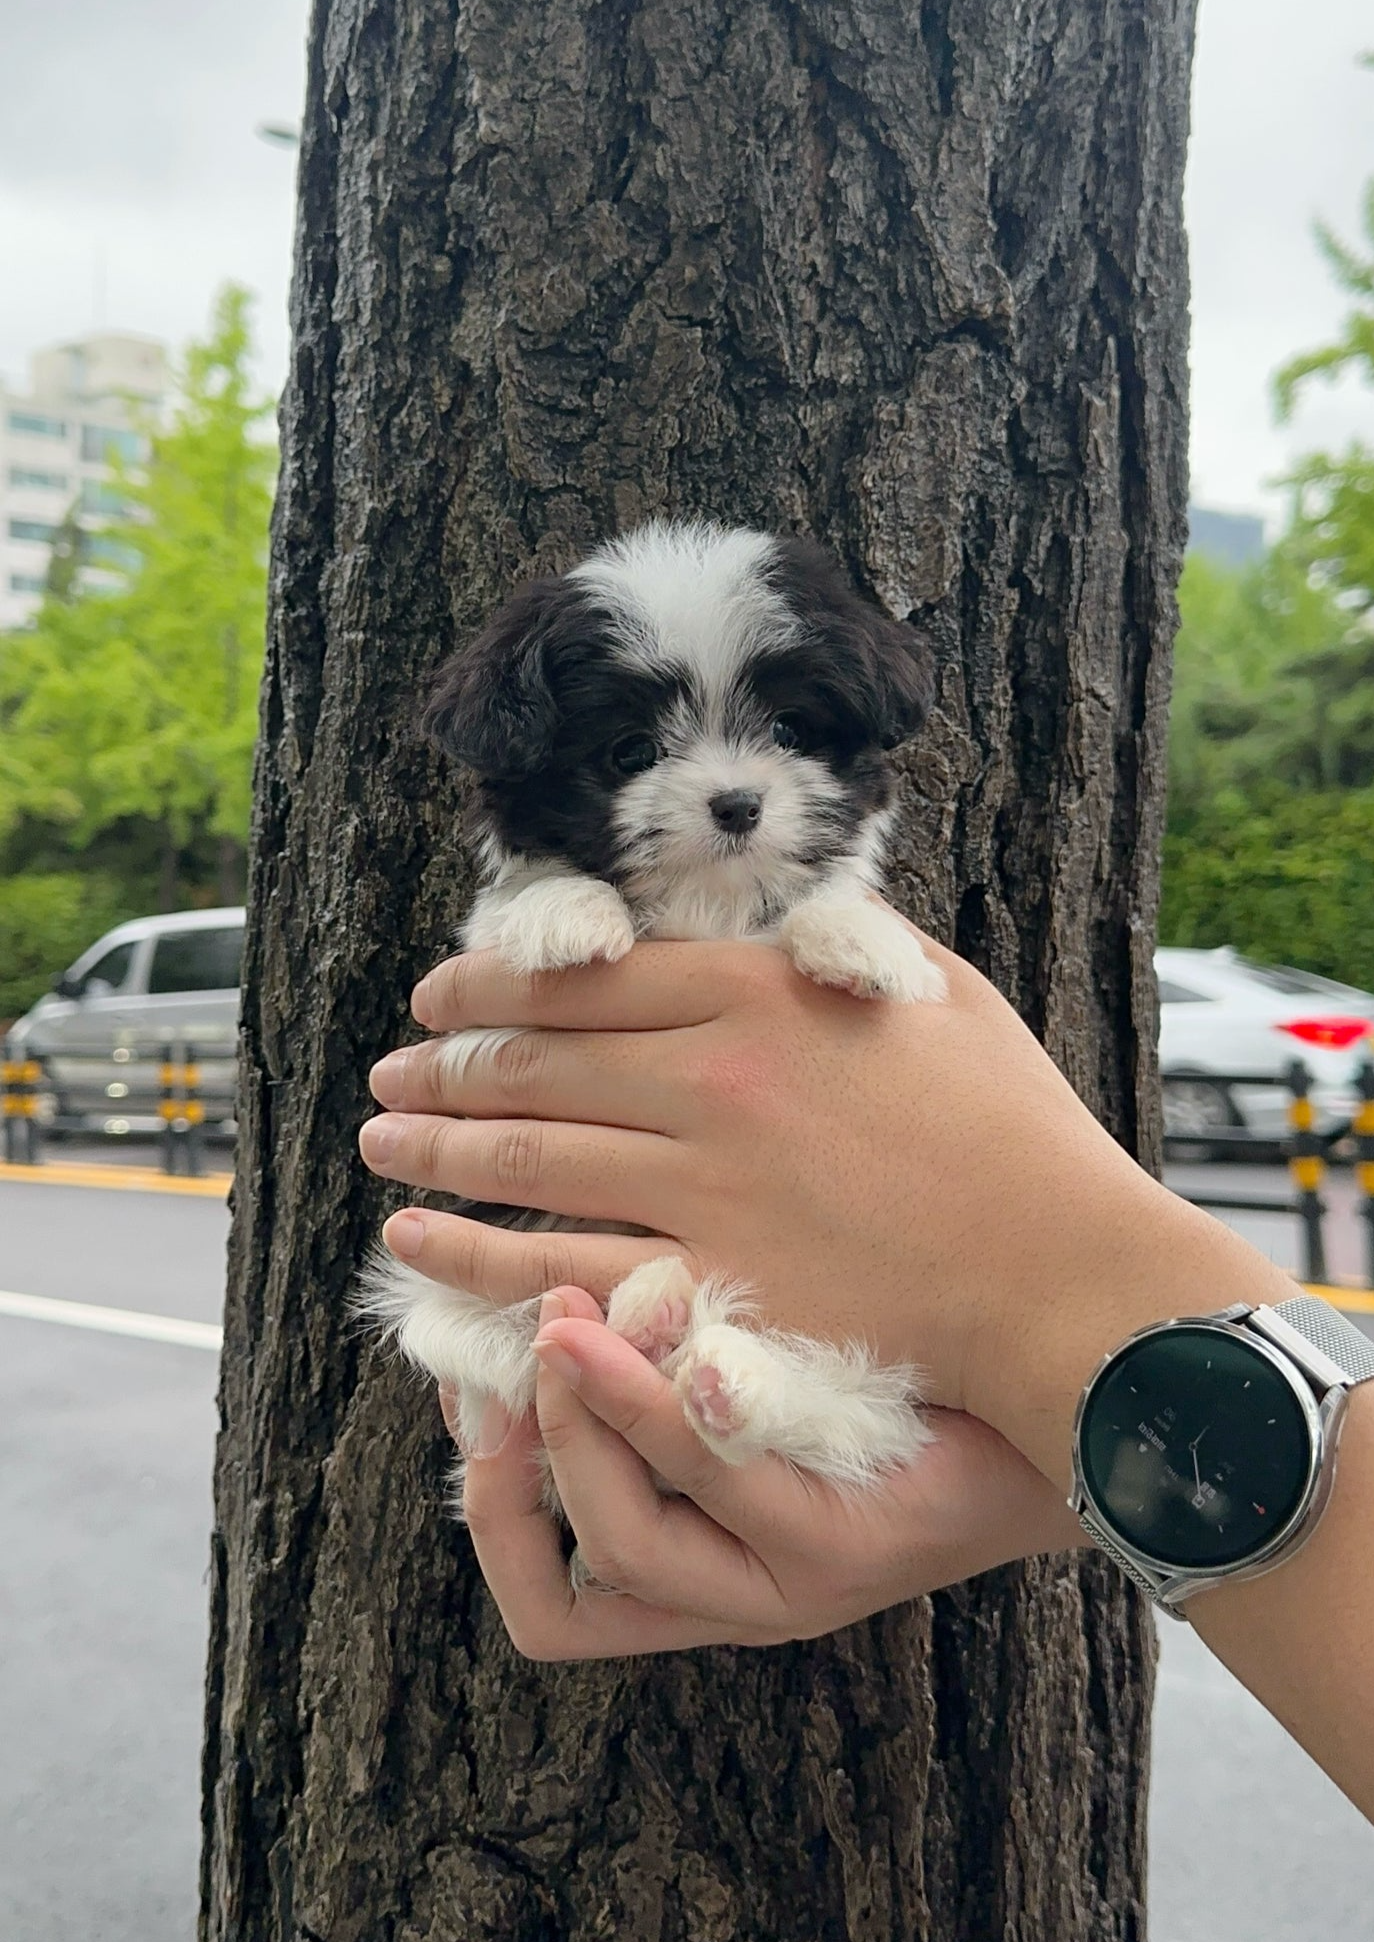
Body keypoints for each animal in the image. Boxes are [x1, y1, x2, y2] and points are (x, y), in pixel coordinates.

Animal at [364, 524, 943, 1506]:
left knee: (826, 1410)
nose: (738, 803)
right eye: (629, 750)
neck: (705, 904)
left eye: (790, 730)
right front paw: (570, 913)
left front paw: (862, 941)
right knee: (514, 1349)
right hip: (458, 1296)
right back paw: (655, 1320)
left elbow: (825, 900)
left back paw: (719, 1370)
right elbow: (527, 901)